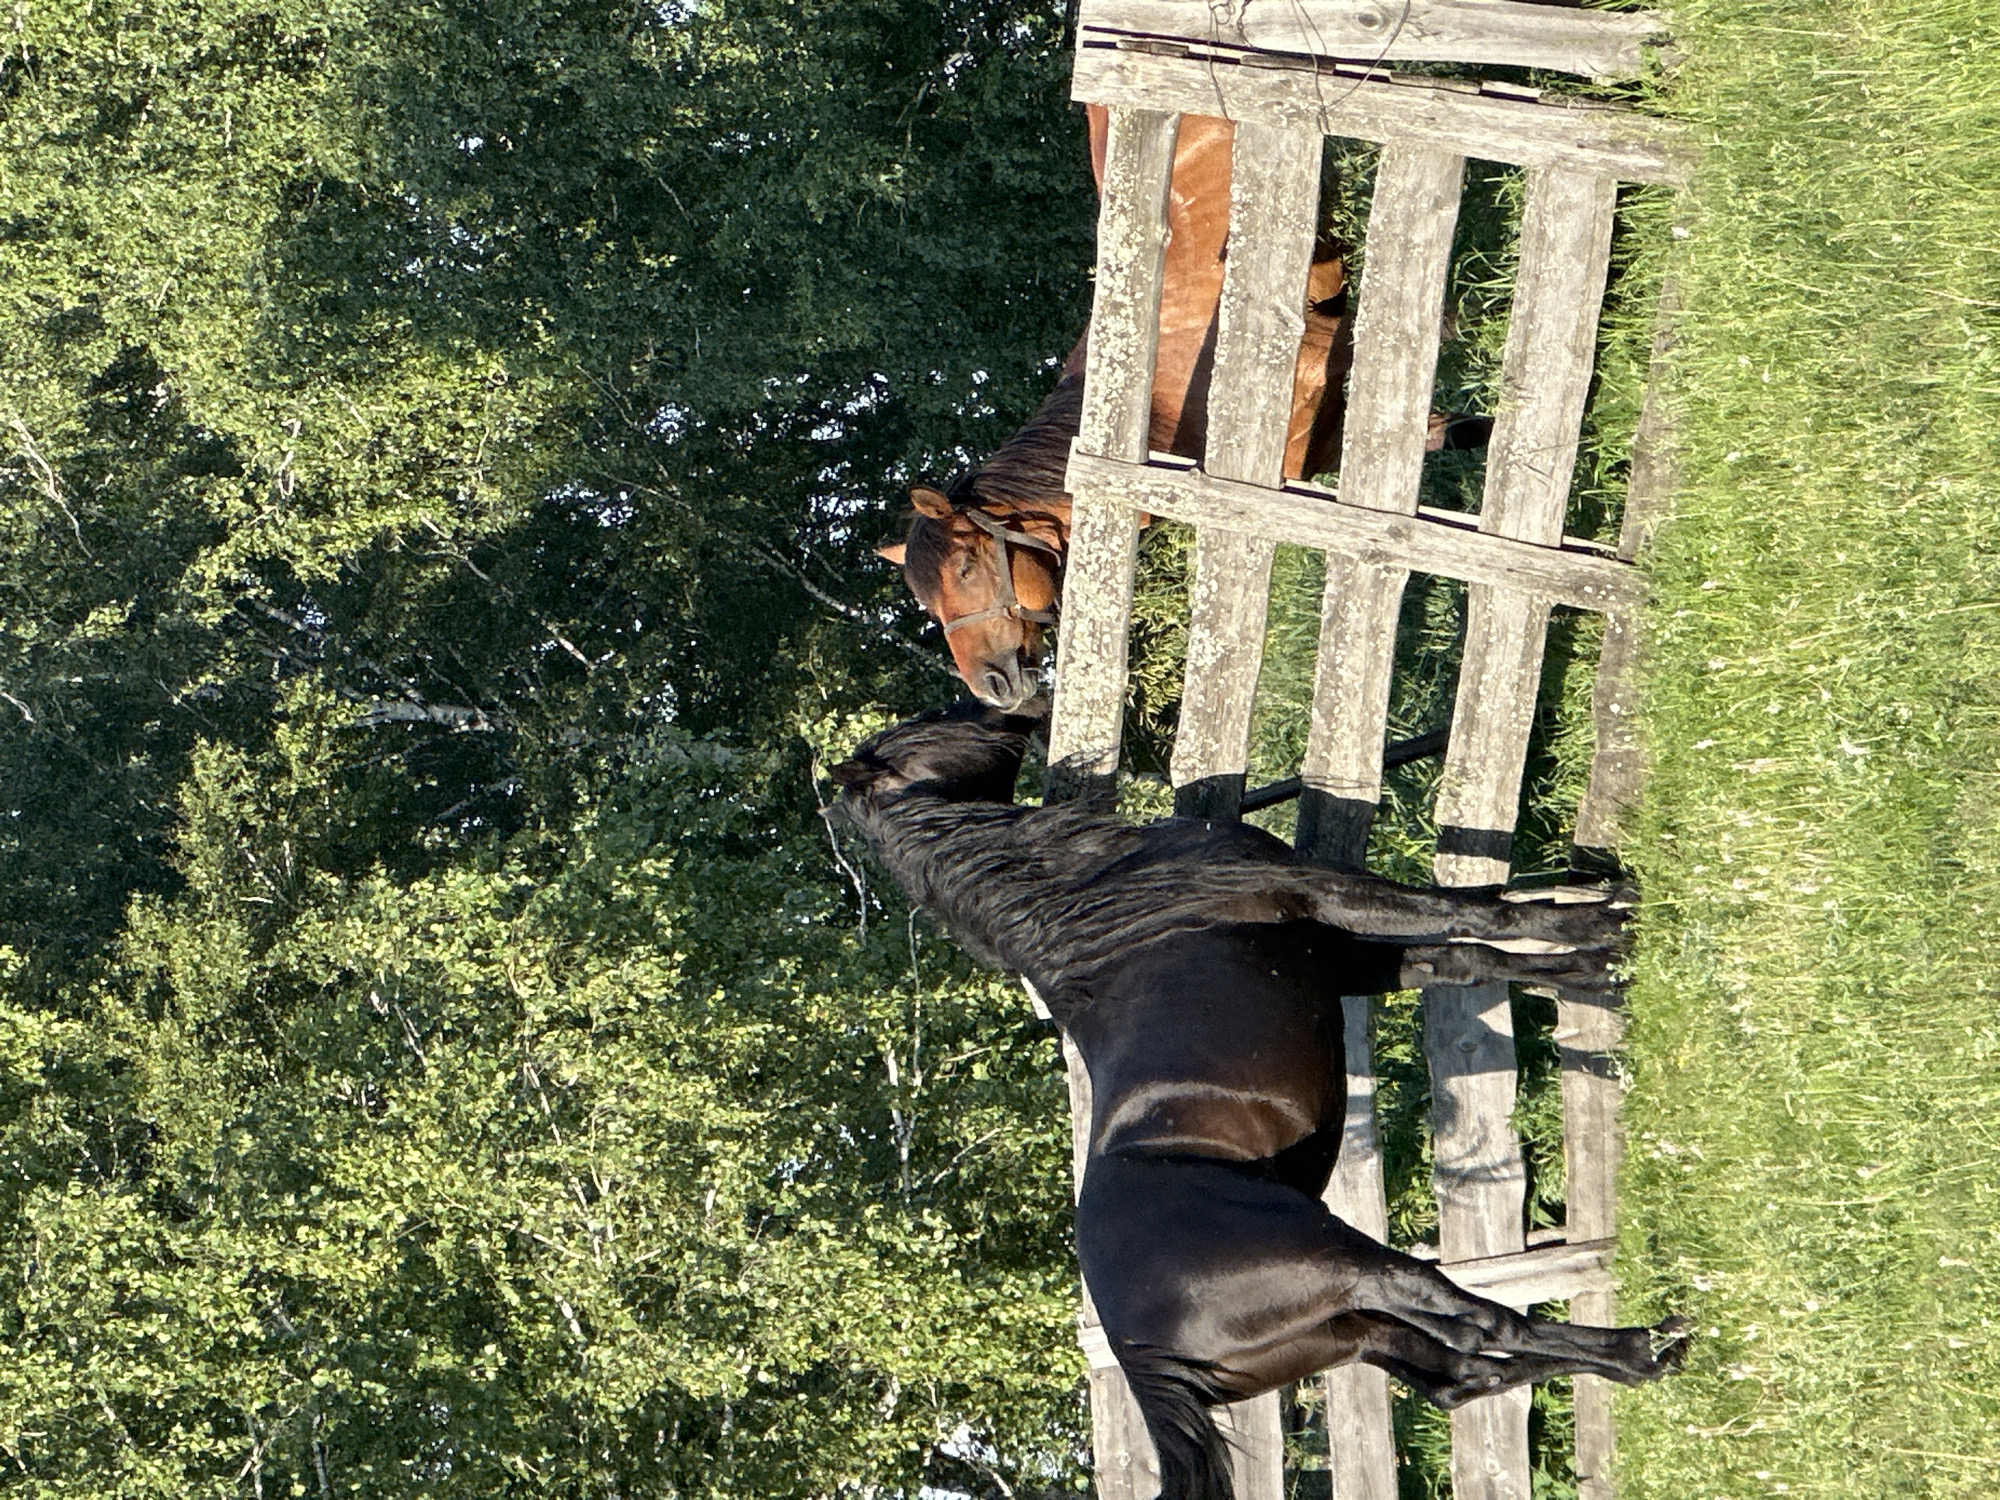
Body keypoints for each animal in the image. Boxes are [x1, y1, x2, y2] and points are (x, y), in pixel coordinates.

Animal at [831, 703, 1686, 1500]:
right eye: (923, 732)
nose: (1008, 707)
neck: (1108, 898)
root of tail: (1138, 1353)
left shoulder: (1341, 957)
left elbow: (1467, 955)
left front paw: (1599, 971)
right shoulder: (1328, 898)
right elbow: (1479, 913)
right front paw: (1616, 919)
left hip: (1339, 1329)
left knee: (1459, 1373)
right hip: (1347, 1268)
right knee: (1480, 1322)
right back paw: (1648, 1344)